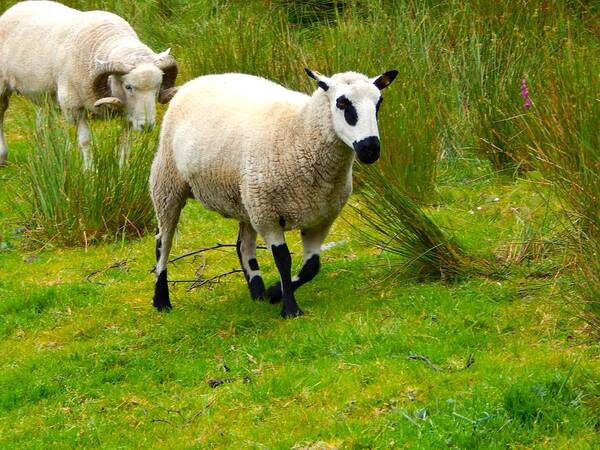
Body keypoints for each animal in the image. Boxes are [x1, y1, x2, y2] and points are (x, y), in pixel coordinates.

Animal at [0, 0, 178, 169]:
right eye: (128, 87)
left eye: (157, 87)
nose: (146, 126)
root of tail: (17, 6)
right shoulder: (74, 106)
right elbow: (85, 140)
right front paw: (90, 171)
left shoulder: (129, 113)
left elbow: (125, 142)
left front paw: (122, 169)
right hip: (3, 84)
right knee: (2, 112)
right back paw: (3, 156)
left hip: (45, 93)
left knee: (44, 121)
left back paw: (50, 152)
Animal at [148, 68, 396, 318]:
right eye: (342, 103)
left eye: (379, 102)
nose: (370, 149)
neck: (299, 133)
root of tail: (195, 81)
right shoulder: (268, 217)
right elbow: (283, 260)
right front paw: (290, 309)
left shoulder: (321, 218)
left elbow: (312, 266)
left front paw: (275, 292)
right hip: (167, 182)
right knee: (163, 241)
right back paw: (161, 300)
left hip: (245, 197)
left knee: (243, 245)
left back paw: (258, 293)